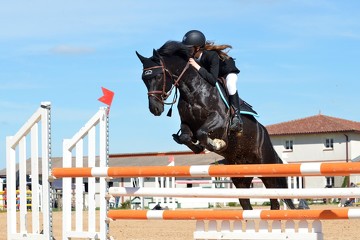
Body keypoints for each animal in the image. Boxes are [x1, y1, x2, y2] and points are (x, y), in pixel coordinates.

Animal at [136, 41, 296, 210]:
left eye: (159, 75)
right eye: (144, 79)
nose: (155, 109)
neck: (193, 90)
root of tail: (264, 133)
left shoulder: (219, 119)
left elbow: (202, 132)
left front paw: (217, 144)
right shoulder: (186, 124)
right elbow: (186, 137)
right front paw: (199, 147)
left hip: (266, 167)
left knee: (274, 199)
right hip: (241, 177)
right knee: (248, 203)